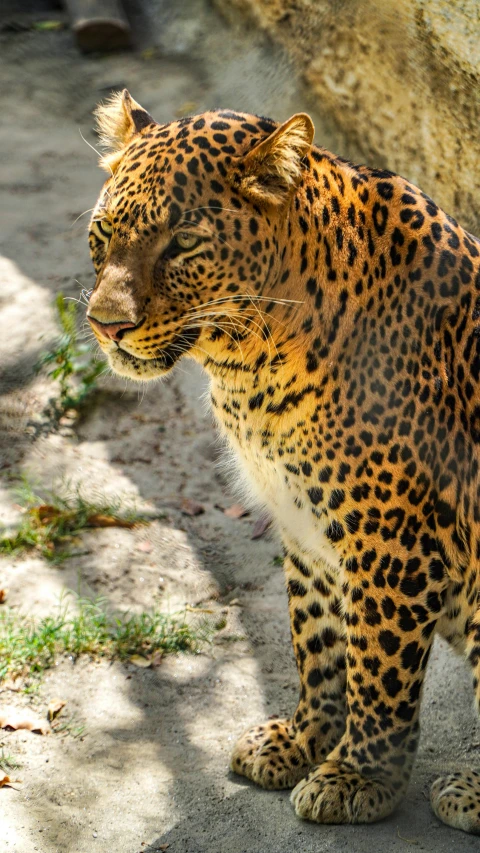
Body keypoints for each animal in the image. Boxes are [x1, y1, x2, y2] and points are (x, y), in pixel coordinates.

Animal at [85, 90, 480, 828]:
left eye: (183, 243)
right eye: (103, 234)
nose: (105, 325)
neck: (250, 366)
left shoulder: (391, 541)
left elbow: (377, 666)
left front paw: (357, 778)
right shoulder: (304, 523)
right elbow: (320, 643)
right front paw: (303, 740)